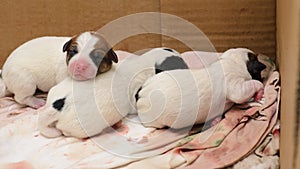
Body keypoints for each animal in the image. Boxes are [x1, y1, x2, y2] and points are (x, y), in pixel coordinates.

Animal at [137, 48, 266, 129]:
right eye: (258, 73)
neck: (233, 61)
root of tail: (141, 93)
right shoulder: (236, 87)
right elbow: (248, 88)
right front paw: (259, 92)